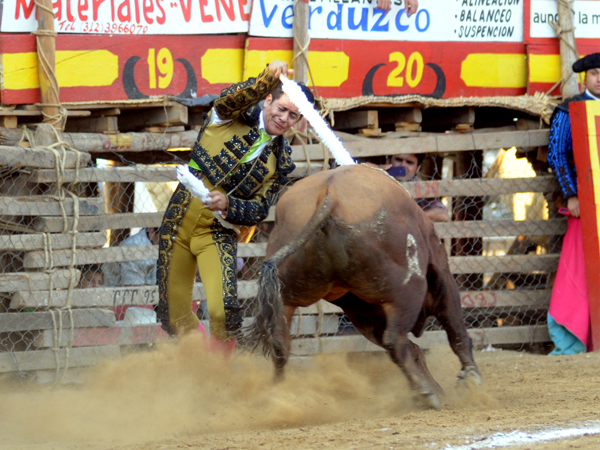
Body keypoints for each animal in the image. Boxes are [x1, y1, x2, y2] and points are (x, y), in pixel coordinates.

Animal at [246, 164, 480, 408]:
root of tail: (330, 195)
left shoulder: (360, 310)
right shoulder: (440, 274)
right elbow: (455, 329)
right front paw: (469, 377)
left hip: (289, 294)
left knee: (280, 344)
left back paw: (278, 393)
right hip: (408, 289)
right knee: (395, 341)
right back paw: (427, 393)